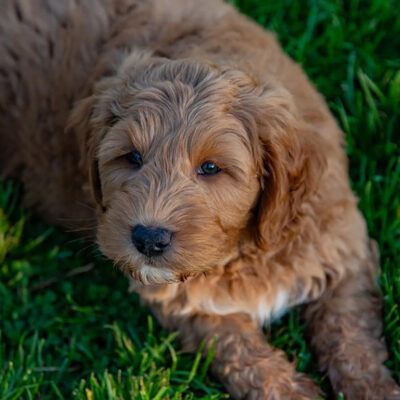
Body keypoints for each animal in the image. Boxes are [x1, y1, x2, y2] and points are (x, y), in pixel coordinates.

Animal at [1, 0, 398, 400]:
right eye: (132, 157)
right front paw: (290, 391)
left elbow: (351, 335)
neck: (244, 249)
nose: (148, 239)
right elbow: (240, 350)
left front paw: (375, 389)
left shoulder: (340, 244)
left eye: (210, 167)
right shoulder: (183, 303)